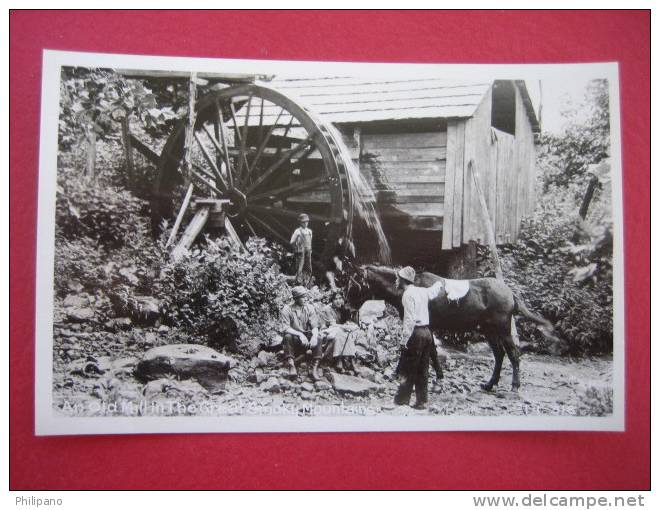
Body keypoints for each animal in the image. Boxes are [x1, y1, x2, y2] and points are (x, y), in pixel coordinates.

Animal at [342, 262, 560, 390]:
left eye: (353, 284)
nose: (345, 308)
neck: (411, 288)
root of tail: (509, 291)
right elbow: (431, 351)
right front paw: (438, 377)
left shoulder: (419, 325)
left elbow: (417, 349)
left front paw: (401, 374)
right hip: (489, 330)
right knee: (499, 355)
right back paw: (490, 384)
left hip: (503, 329)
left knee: (513, 354)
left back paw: (514, 385)